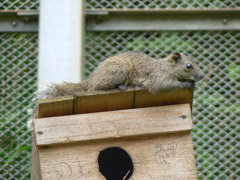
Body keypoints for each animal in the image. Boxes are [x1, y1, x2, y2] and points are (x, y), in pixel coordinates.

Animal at [38, 51, 204, 99]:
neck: (167, 67)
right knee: (96, 87)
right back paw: (121, 85)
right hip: (119, 70)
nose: (202, 76)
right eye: (188, 66)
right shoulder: (158, 77)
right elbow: (162, 86)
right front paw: (186, 83)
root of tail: (91, 79)